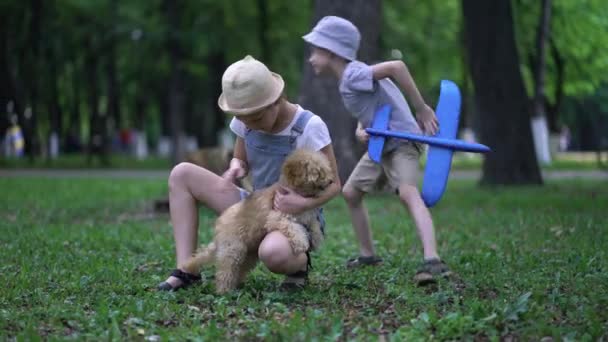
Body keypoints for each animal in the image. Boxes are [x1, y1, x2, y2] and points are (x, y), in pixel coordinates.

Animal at [180, 148, 332, 292]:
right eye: (318, 172)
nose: (331, 181)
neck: (297, 193)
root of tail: (219, 226)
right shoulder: (277, 217)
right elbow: (293, 228)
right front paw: (301, 242)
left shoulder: (308, 216)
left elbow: (314, 225)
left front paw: (317, 238)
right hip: (233, 248)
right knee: (224, 271)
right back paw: (224, 290)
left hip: (250, 253)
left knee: (240, 269)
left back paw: (237, 285)